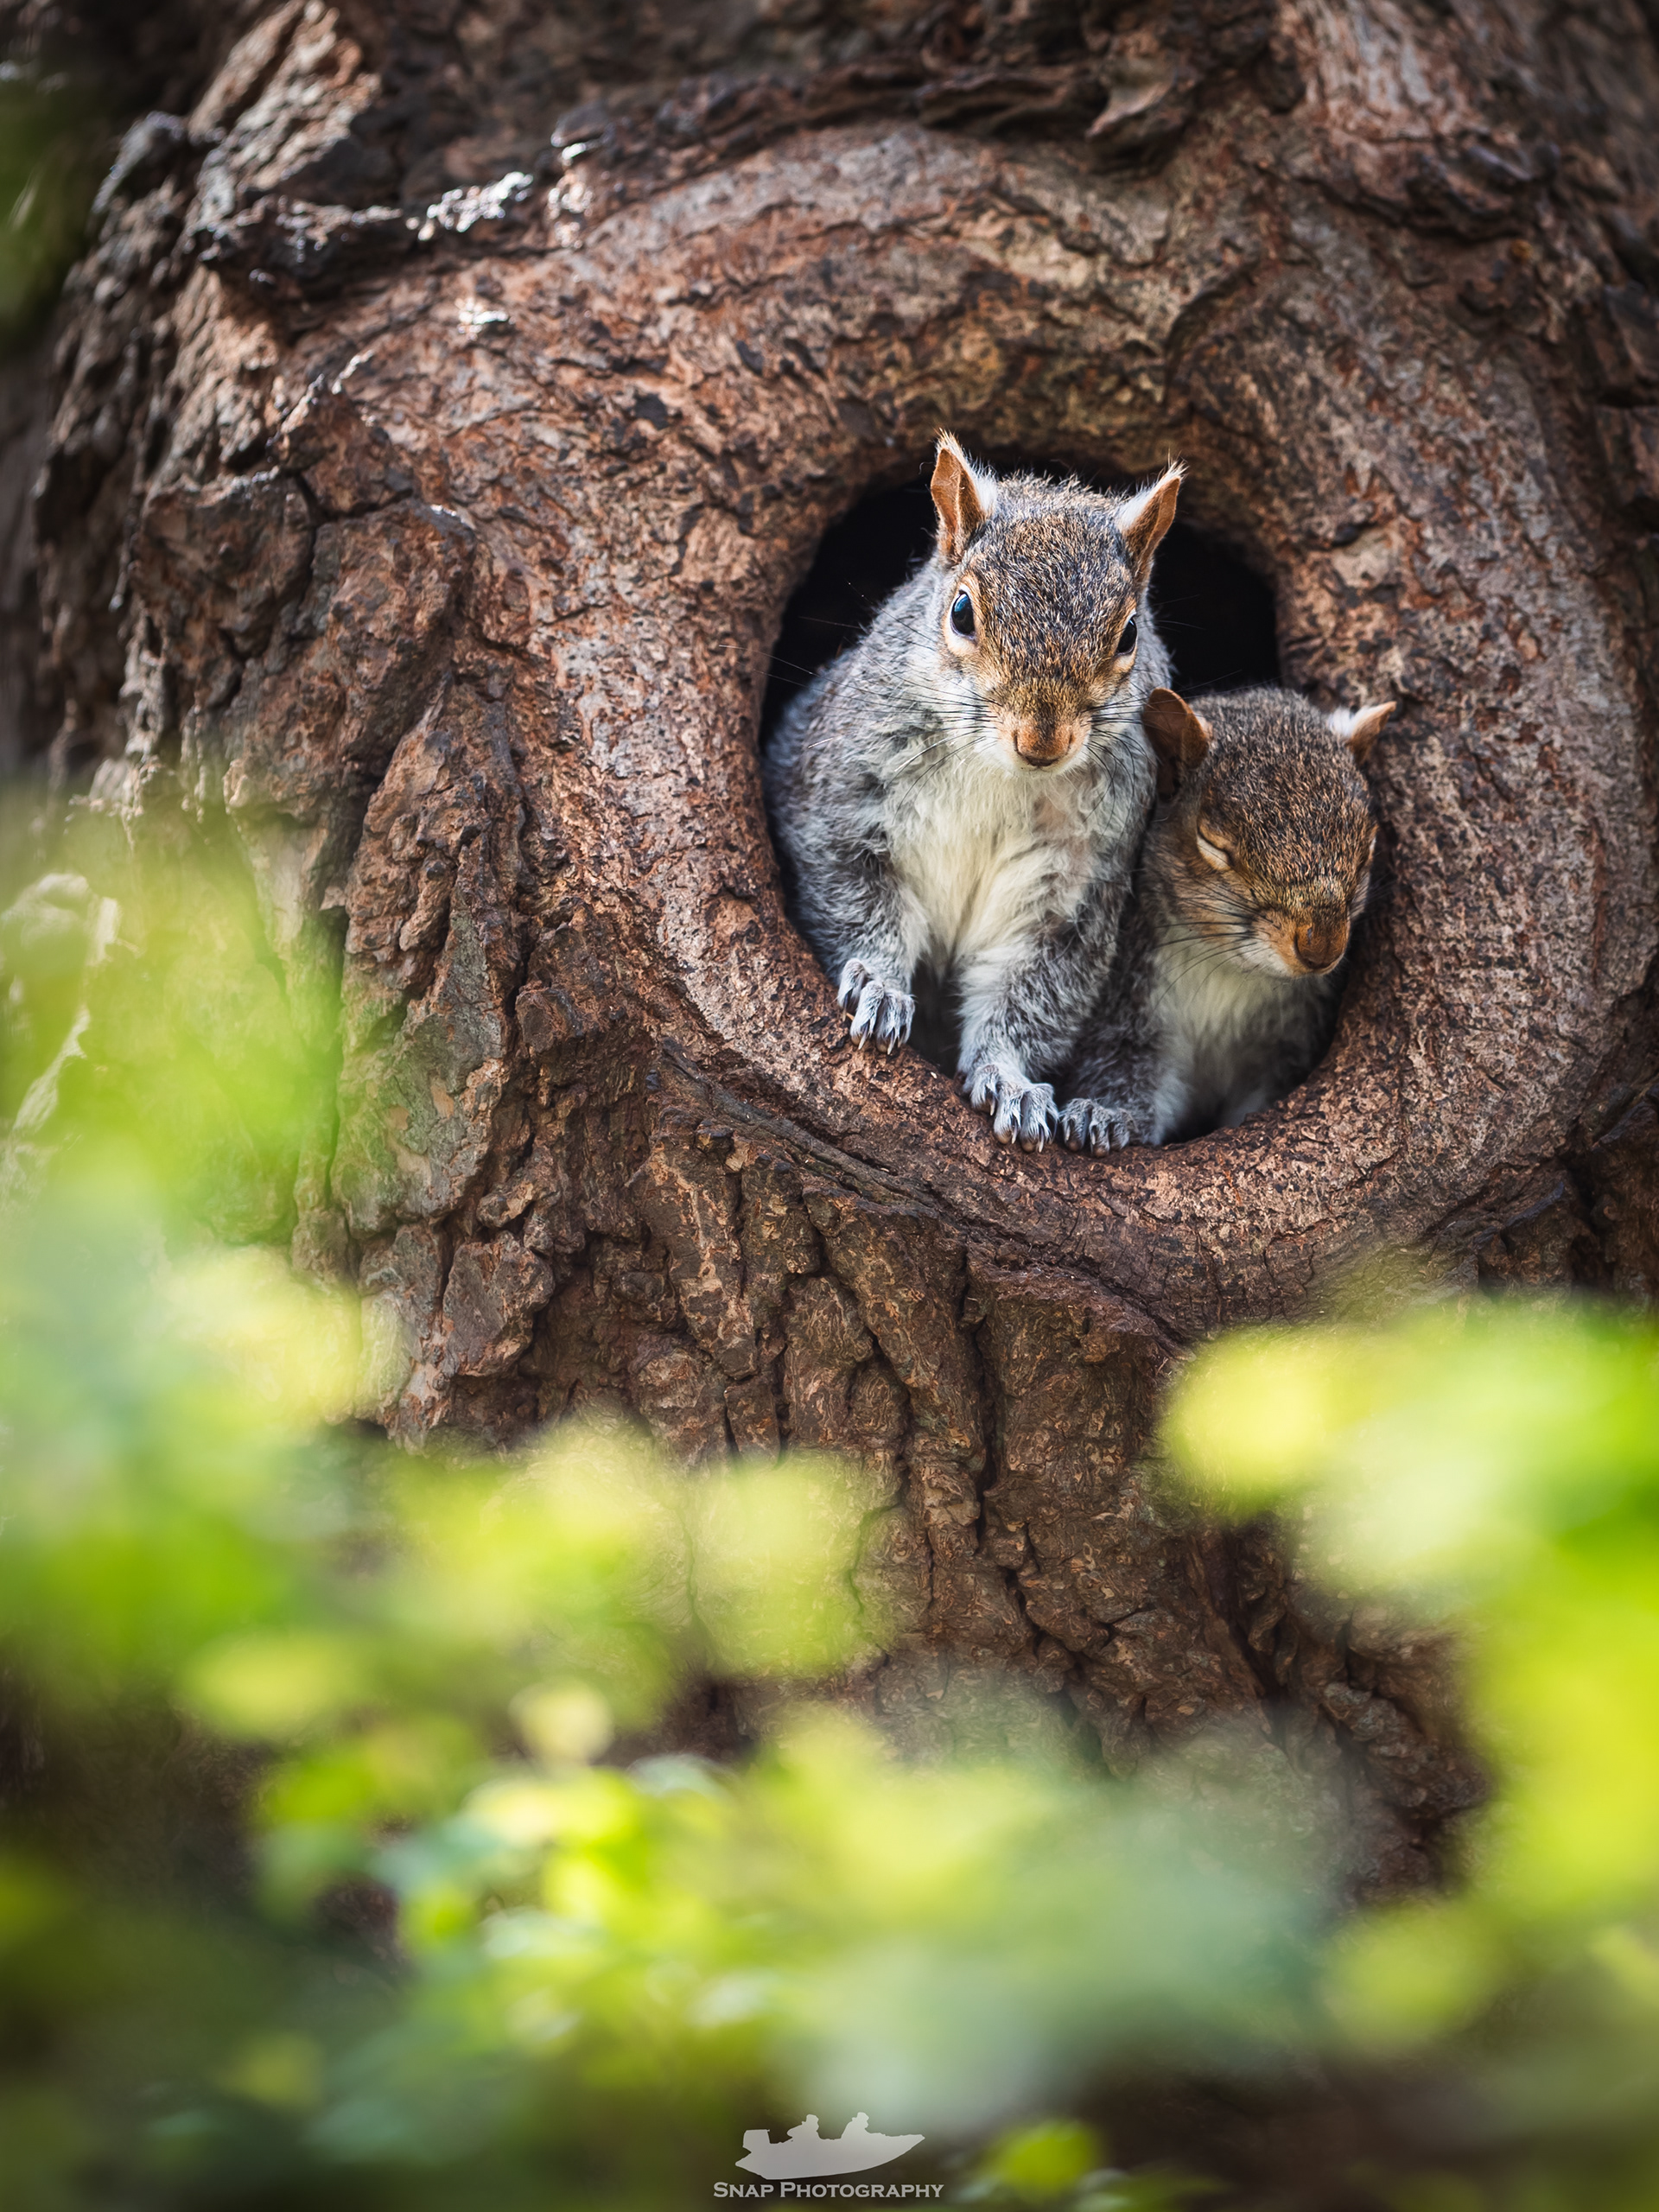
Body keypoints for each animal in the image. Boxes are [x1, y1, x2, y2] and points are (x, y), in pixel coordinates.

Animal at [763, 432, 1183, 1150]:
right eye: (961, 612)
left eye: (1129, 634)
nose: (1042, 739)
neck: (1002, 775)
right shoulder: (843, 806)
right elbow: (858, 904)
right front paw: (879, 988)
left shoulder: (1071, 893)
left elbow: (1030, 993)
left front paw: (1009, 1080)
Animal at [1057, 684, 1393, 1152]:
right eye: (1213, 841)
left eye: (1368, 849)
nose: (1321, 947)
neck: (1231, 970)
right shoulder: (1125, 1008)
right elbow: (1122, 1072)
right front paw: (1104, 1116)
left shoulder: (1287, 1045)